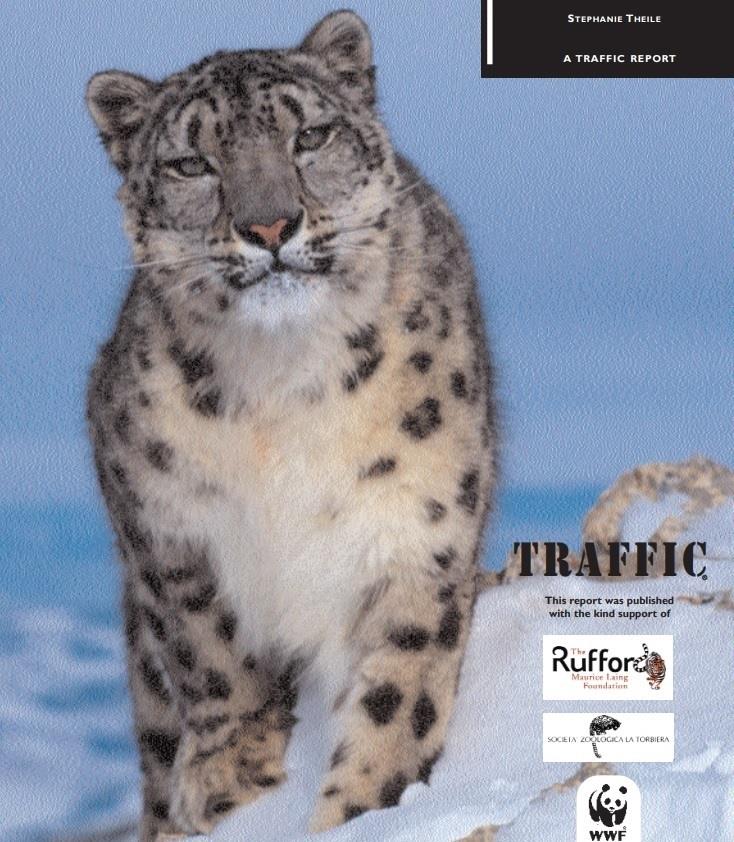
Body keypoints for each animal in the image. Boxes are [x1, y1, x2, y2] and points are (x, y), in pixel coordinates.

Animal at [85, 10, 498, 839]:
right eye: (190, 163)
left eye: (311, 136)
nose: (269, 224)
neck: (279, 388)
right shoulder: (160, 519)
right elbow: (204, 646)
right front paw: (228, 773)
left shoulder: (418, 528)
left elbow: (399, 699)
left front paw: (361, 809)